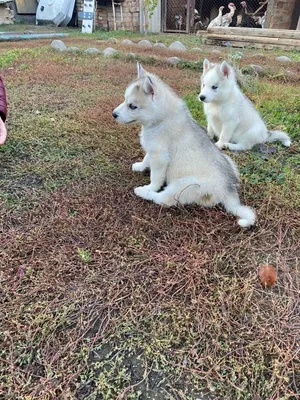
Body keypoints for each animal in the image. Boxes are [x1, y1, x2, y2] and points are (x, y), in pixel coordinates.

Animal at [112, 61, 255, 225]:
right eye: (124, 100)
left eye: (132, 106)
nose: (113, 114)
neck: (161, 118)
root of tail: (229, 190)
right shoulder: (153, 150)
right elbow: (146, 158)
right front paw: (140, 166)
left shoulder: (160, 157)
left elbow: (156, 178)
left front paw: (150, 187)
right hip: (229, 161)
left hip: (183, 186)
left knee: (163, 199)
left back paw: (142, 192)